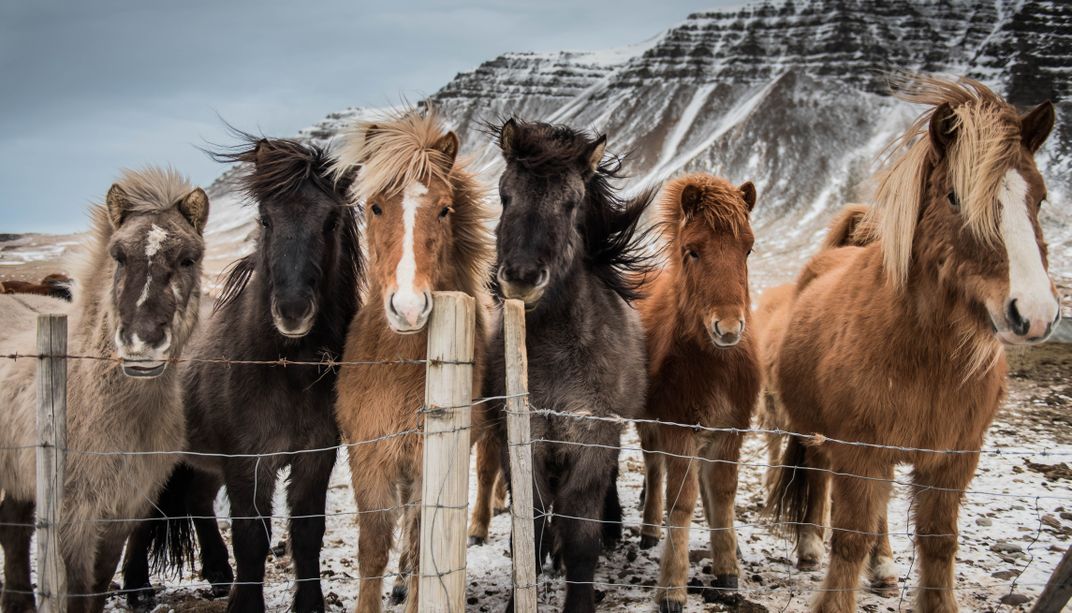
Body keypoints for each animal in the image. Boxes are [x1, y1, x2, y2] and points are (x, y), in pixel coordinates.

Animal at [0, 167, 208, 613]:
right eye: (118, 256)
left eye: (189, 258)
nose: (142, 344)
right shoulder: (72, 522)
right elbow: (78, 594)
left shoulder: (121, 516)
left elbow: (96, 588)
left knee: (14, 528)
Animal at [122, 136, 362, 613]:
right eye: (266, 219)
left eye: (331, 220)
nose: (292, 310)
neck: (284, 371)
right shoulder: (248, 462)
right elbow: (253, 536)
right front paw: (246, 603)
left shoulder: (315, 457)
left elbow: (307, 532)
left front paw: (309, 604)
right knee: (141, 512)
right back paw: (137, 588)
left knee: (197, 501)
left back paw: (217, 575)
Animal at [331, 108, 495, 613]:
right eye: (374, 206)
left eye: (444, 209)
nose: (407, 308)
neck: (398, 368)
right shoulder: (369, 456)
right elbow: (372, 548)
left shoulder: (430, 459)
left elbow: (425, 542)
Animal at [484, 118, 654, 613]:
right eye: (505, 194)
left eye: (572, 203)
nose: (521, 277)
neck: (557, 358)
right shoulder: (523, 441)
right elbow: (531, 529)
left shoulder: (592, 439)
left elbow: (581, 536)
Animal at [634, 174, 761, 612]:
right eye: (692, 251)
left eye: (748, 248)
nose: (729, 327)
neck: (715, 364)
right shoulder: (677, 428)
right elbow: (682, 501)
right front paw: (672, 588)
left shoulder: (730, 431)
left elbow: (721, 494)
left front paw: (727, 571)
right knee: (654, 467)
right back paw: (649, 530)